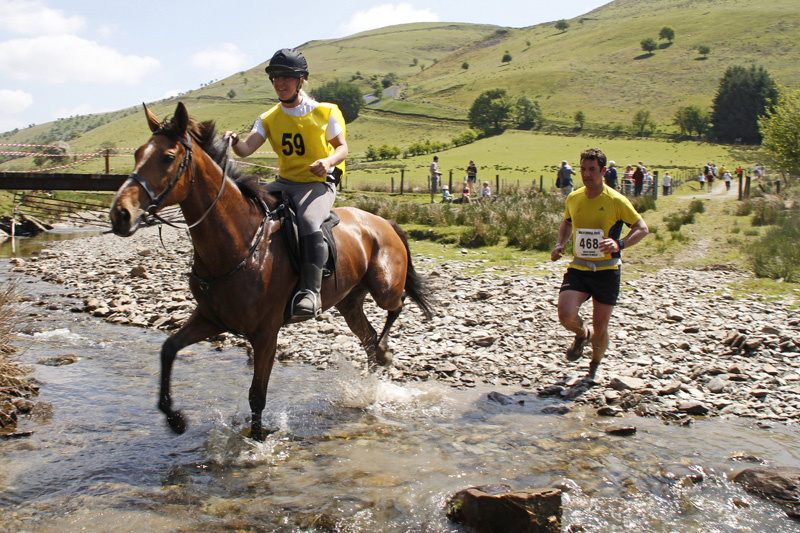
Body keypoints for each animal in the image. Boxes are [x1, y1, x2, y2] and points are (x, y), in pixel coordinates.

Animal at [109, 102, 433, 440]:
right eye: (137, 153)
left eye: (168, 157)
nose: (120, 214)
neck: (241, 243)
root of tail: (383, 221)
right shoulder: (210, 319)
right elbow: (168, 349)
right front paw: (175, 418)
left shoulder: (265, 334)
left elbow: (257, 395)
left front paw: (257, 441)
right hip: (349, 301)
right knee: (369, 338)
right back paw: (375, 369)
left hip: (384, 287)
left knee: (396, 306)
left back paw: (384, 350)